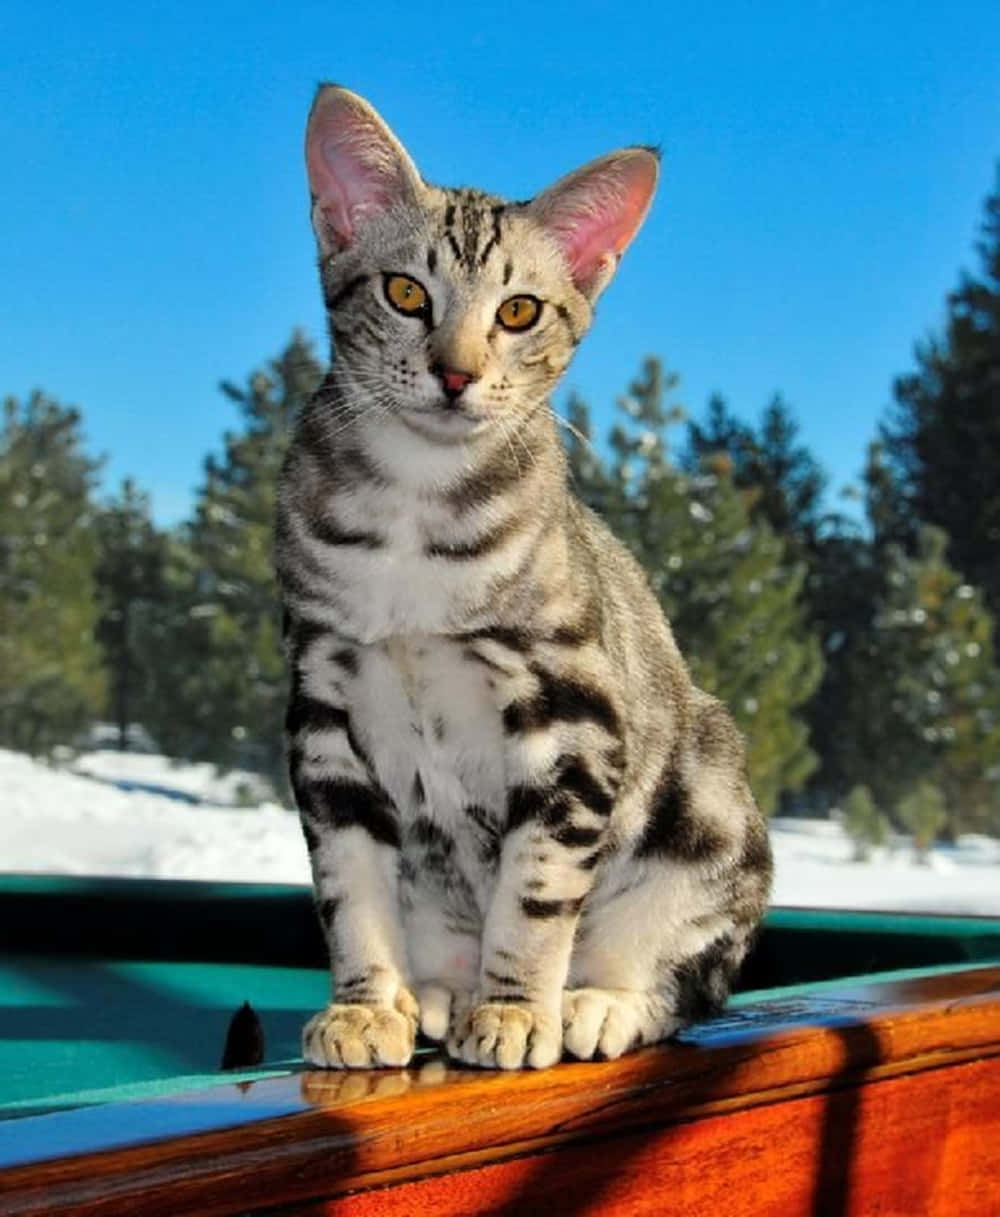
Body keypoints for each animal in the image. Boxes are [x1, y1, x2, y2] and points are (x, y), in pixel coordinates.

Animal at [276, 85, 773, 1070]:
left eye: (519, 312)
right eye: (405, 292)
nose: (456, 373)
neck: (413, 512)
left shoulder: (572, 716)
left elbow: (538, 892)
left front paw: (513, 1010)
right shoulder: (323, 710)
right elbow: (348, 885)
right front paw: (364, 1006)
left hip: (710, 800)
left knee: (692, 976)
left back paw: (597, 1001)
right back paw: (434, 993)